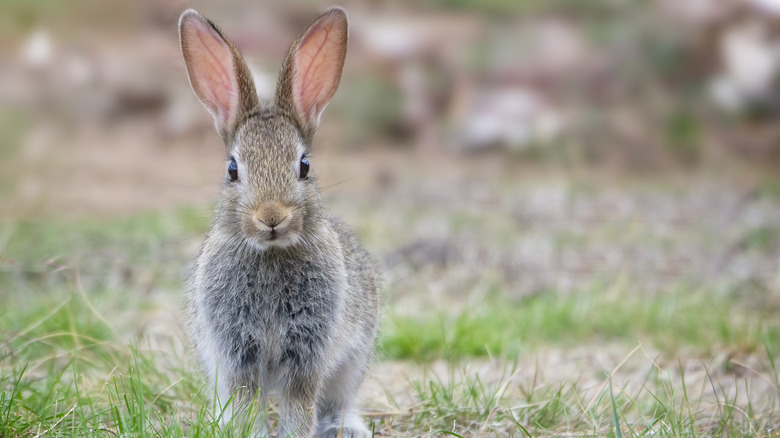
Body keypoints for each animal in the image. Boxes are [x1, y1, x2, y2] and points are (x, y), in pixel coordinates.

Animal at [180, 7, 380, 438]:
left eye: (304, 166)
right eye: (232, 169)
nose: (271, 217)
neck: (271, 253)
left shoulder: (306, 355)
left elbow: (299, 406)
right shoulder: (237, 355)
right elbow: (245, 404)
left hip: (354, 359)